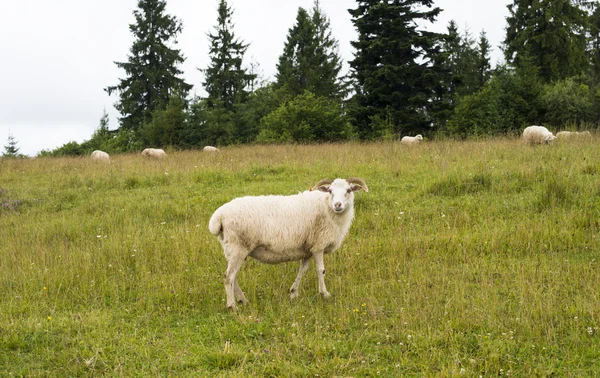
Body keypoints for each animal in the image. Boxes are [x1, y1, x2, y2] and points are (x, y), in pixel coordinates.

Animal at [211, 177, 370, 310]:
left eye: (348, 190)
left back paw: (243, 300)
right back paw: (232, 306)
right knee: (229, 277)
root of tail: (219, 216)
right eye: (330, 191)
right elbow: (321, 270)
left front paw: (293, 293)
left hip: (232, 248)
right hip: (237, 247)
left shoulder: (308, 249)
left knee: (233, 276)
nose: (338, 205)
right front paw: (324, 294)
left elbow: (302, 270)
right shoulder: (318, 245)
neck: (326, 207)